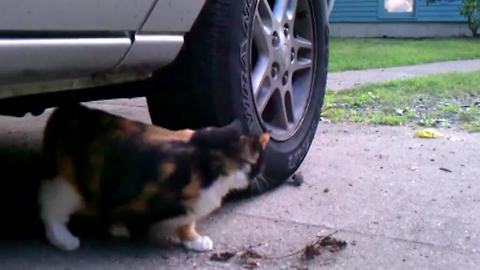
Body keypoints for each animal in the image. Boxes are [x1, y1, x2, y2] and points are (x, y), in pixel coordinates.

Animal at [39, 105, 268, 251]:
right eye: (256, 161)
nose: (260, 172)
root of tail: (66, 111)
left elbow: (187, 220)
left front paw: (192, 239)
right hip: (68, 184)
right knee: (52, 205)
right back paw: (62, 238)